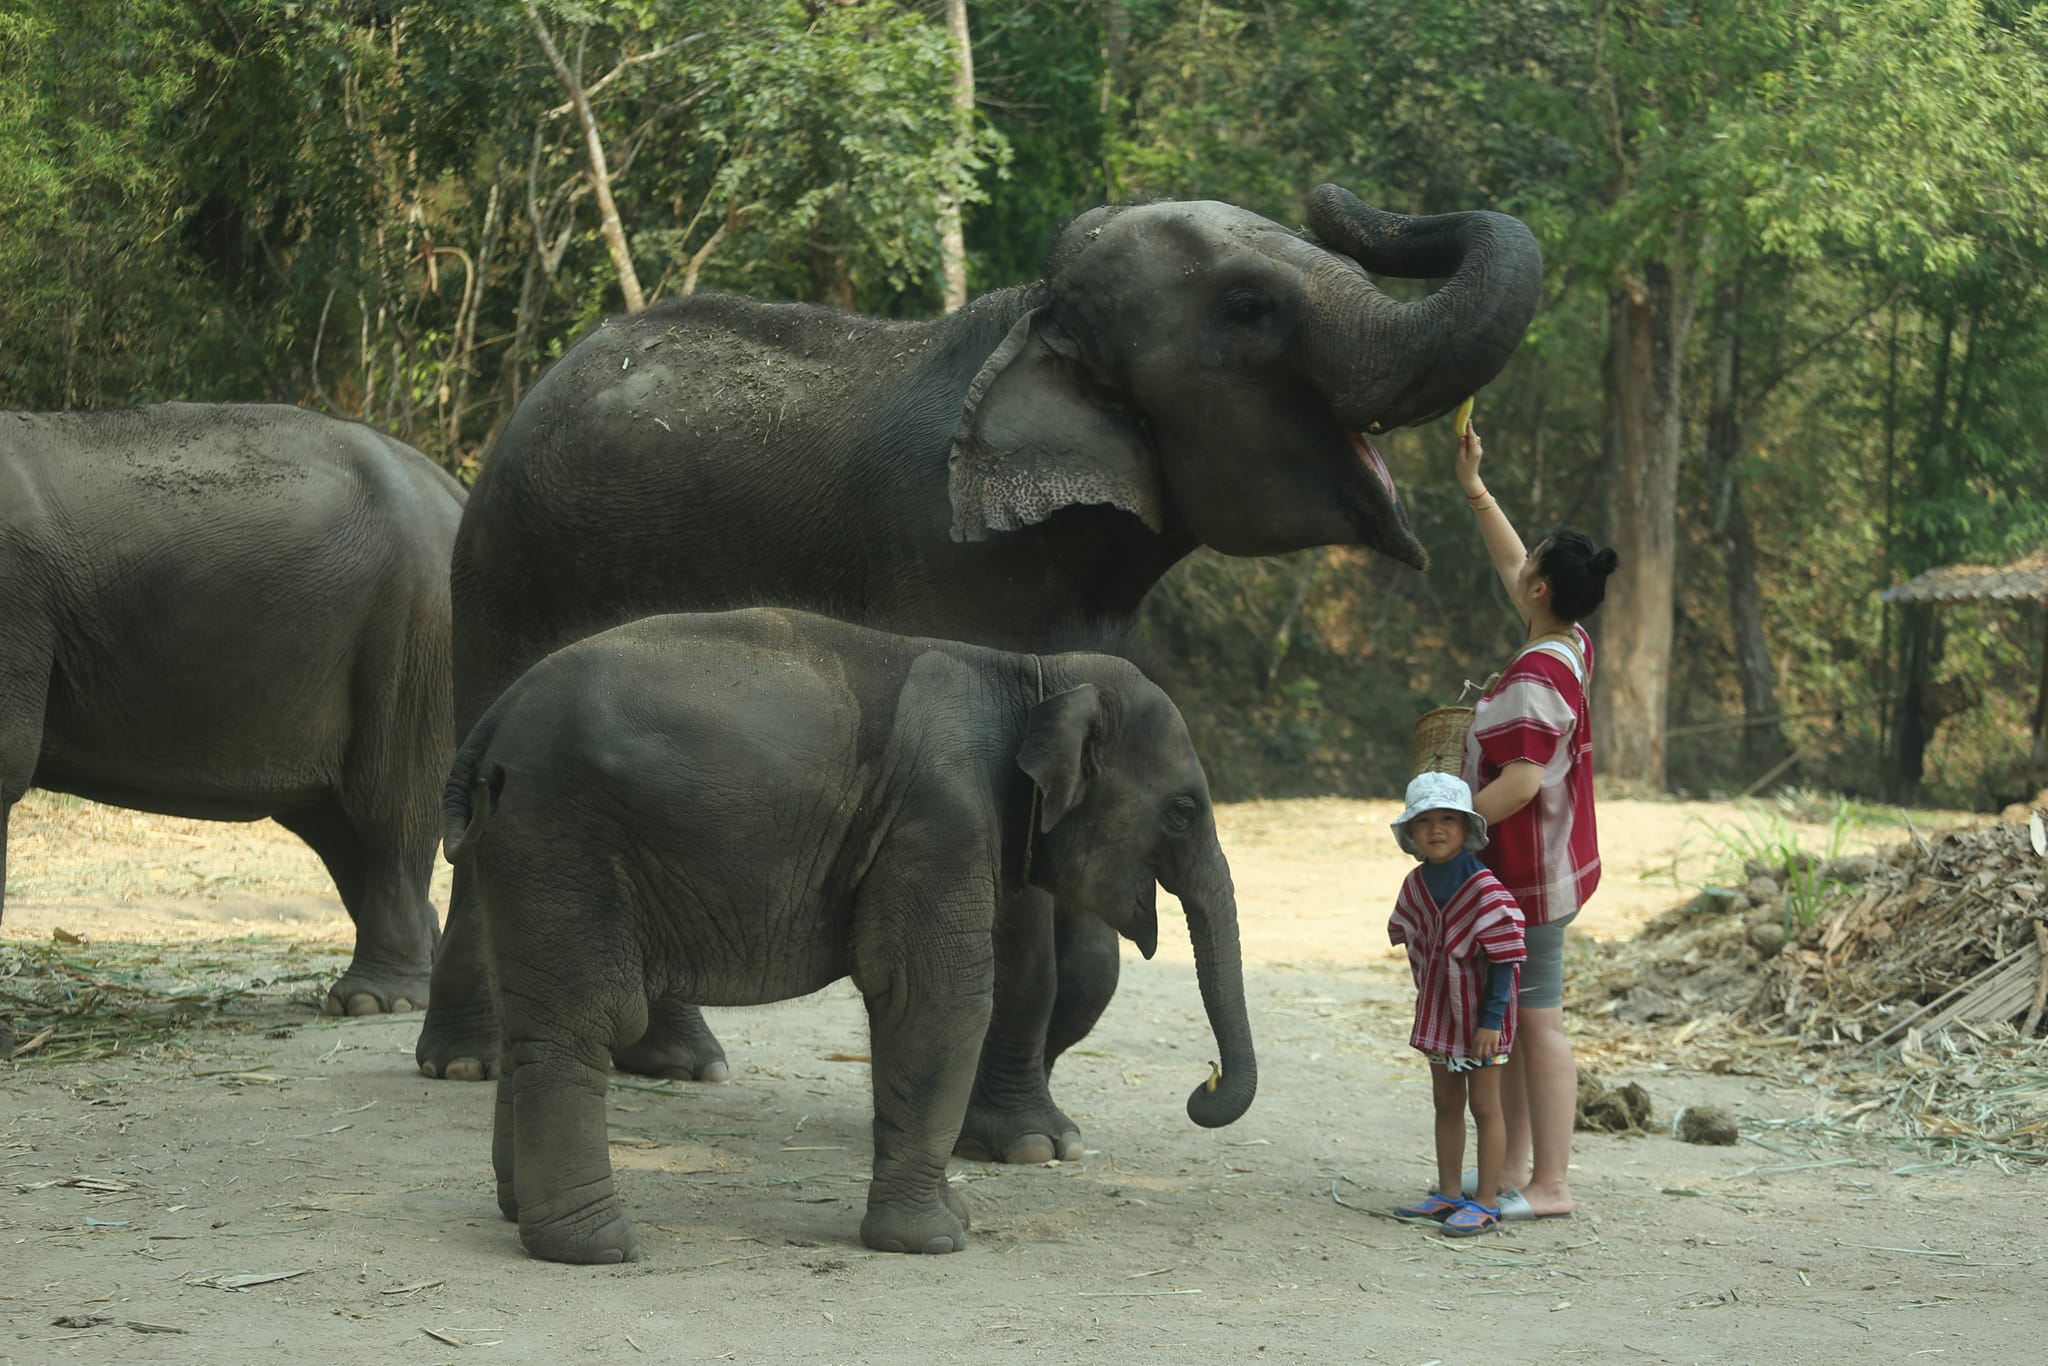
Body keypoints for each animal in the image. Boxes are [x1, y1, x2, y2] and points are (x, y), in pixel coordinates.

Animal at [415, 179, 1540, 1163]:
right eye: (1247, 308)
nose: (1332, 196)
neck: (1030, 319)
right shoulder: (944, 569)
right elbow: (1017, 904)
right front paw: (1022, 1142)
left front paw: (1019, 1114)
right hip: (499, 571)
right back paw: (468, 1063)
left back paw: (684, 1063)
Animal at [440, 602, 1253, 1269]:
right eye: (1183, 811)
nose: (1205, 1083)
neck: (1029, 675)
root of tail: (492, 719)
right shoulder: (939, 820)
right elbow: (938, 998)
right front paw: (933, 1243)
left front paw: (955, 1219)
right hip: (563, 838)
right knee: (586, 1020)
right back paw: (597, 1249)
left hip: (521, 849)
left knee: (531, 1019)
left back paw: (521, 1217)